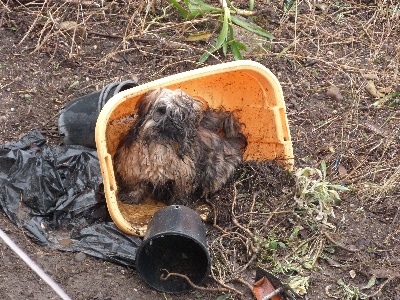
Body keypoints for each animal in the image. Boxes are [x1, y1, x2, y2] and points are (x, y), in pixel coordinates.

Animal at [112, 86, 248, 204]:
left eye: (181, 115)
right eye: (162, 110)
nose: (171, 122)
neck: (162, 144)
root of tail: (230, 141)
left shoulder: (184, 174)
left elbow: (180, 191)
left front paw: (178, 203)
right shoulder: (132, 166)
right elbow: (135, 184)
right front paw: (131, 196)